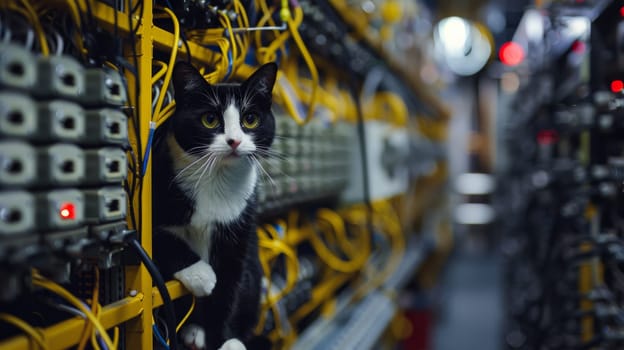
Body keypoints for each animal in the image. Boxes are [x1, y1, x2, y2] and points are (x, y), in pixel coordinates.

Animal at [152, 61, 276, 348]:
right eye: (209, 119)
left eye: (250, 119)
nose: (234, 141)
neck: (217, 178)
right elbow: (160, 239)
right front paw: (200, 274)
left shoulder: (239, 227)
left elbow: (228, 290)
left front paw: (223, 340)